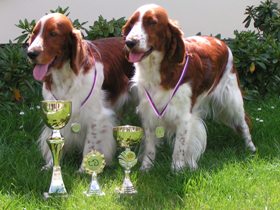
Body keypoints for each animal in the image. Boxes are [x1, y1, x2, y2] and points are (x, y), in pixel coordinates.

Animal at [26, 12, 134, 171]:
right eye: (34, 33)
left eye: (53, 34)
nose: (30, 53)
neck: (66, 75)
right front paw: (51, 166)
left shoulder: (96, 116)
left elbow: (91, 144)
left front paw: (84, 170)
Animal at [122, 4, 256, 171]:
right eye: (131, 23)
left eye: (152, 22)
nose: (129, 42)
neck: (162, 70)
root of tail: (221, 42)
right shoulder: (148, 112)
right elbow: (150, 146)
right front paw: (146, 168)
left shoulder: (183, 116)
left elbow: (179, 146)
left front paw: (177, 169)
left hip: (232, 100)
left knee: (244, 124)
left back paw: (251, 148)